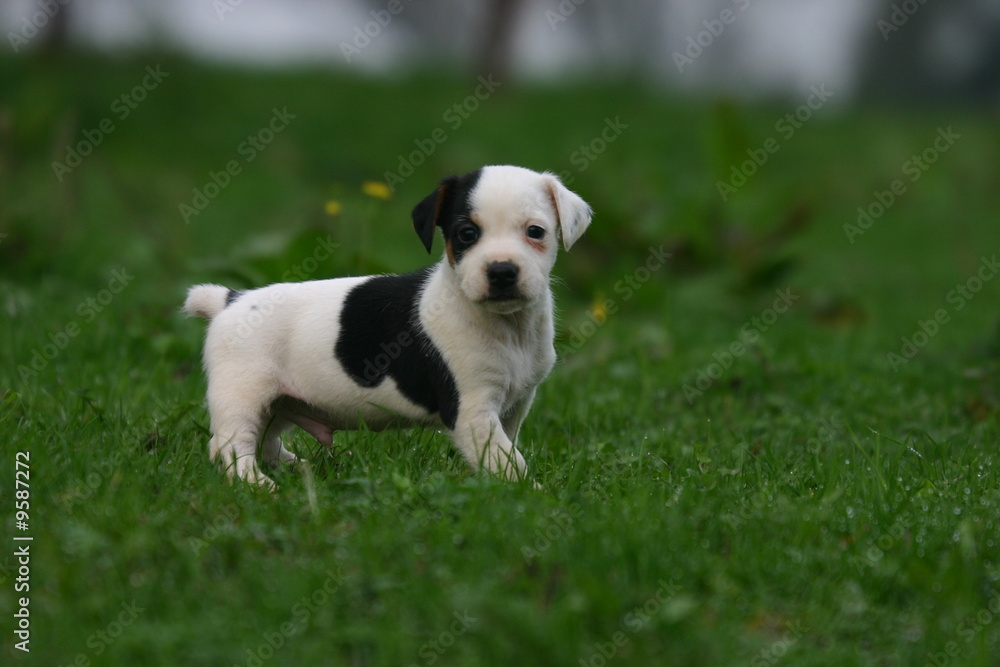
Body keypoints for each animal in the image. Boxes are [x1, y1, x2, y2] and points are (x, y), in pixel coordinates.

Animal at [184, 166, 588, 490]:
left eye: (535, 231)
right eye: (467, 234)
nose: (502, 271)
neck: (508, 326)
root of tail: (230, 300)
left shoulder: (515, 404)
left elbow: (508, 447)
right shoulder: (472, 411)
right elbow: (506, 459)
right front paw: (530, 494)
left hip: (280, 402)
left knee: (265, 440)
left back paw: (296, 468)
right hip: (242, 395)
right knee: (231, 445)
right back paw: (256, 483)